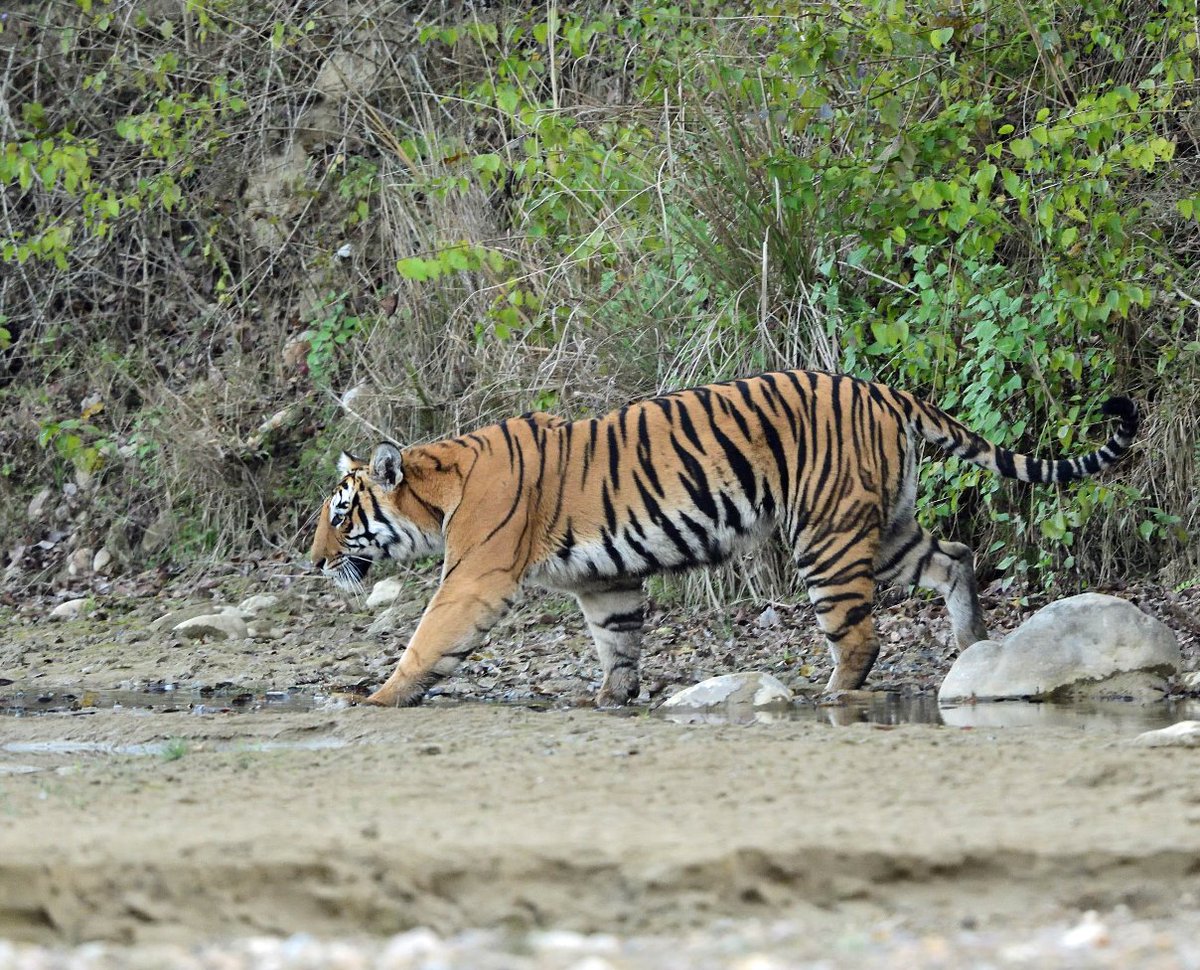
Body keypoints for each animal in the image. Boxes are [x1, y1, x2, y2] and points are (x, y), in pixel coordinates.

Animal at [307, 367, 1132, 710]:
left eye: (340, 515)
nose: (313, 563)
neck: (437, 491)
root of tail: (880, 388)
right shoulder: (604, 580)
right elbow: (618, 640)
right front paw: (611, 697)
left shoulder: (475, 574)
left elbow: (427, 638)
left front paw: (376, 697)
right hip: (887, 526)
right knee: (957, 558)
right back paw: (970, 648)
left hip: (825, 535)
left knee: (859, 636)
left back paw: (832, 694)